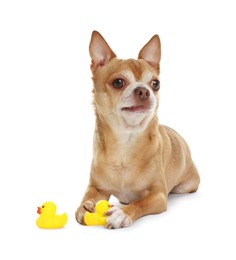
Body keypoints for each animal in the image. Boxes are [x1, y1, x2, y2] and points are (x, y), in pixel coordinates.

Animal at [75, 31, 199, 229]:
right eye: (118, 82)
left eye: (155, 84)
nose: (144, 90)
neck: (125, 142)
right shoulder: (96, 187)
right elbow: (87, 196)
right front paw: (84, 206)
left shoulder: (158, 195)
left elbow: (140, 203)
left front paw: (122, 214)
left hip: (186, 185)